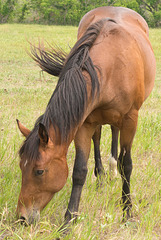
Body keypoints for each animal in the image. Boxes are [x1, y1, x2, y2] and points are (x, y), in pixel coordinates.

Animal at [16, 6, 155, 227]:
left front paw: (127, 213)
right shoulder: (84, 123)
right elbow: (79, 171)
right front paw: (68, 222)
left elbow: (127, 164)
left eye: (39, 171)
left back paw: (112, 170)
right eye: (21, 166)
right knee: (98, 138)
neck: (112, 65)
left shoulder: (131, 120)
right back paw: (102, 176)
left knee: (115, 135)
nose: (22, 218)